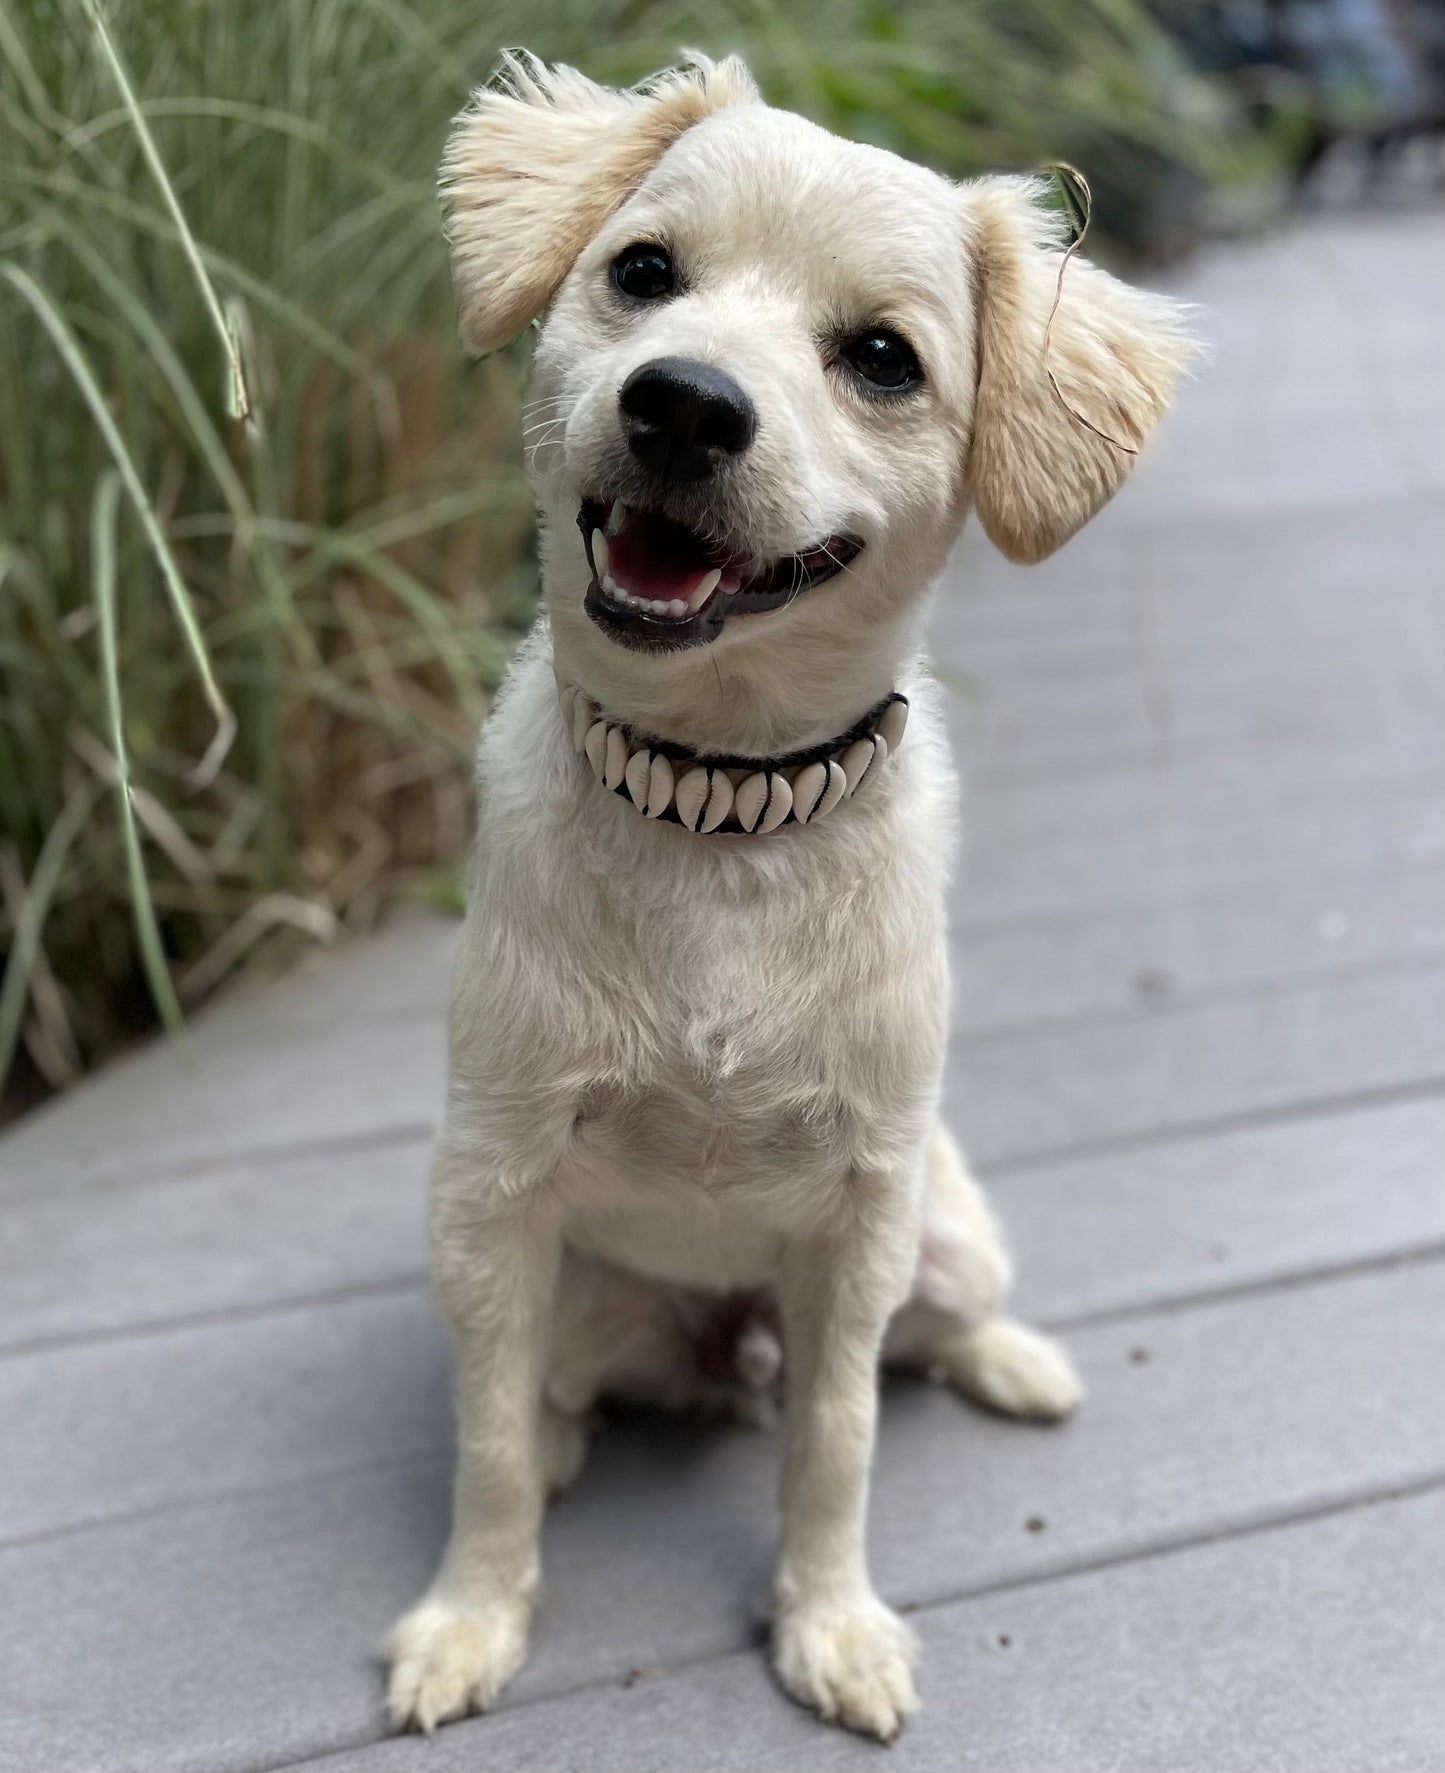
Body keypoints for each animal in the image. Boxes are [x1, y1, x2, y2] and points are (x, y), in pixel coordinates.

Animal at [386, 51, 1198, 1744]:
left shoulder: (861, 1216)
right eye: (642, 272)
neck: (719, 811)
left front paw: (830, 1626)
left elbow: (836, 1440)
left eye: (882, 358)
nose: (683, 402)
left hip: (947, 1239)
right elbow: (486, 1442)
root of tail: (719, 1334)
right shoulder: (495, 1194)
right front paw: (471, 1618)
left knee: (929, 1338)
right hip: (566, 1289)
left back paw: (1017, 1363)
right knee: (554, 1394)